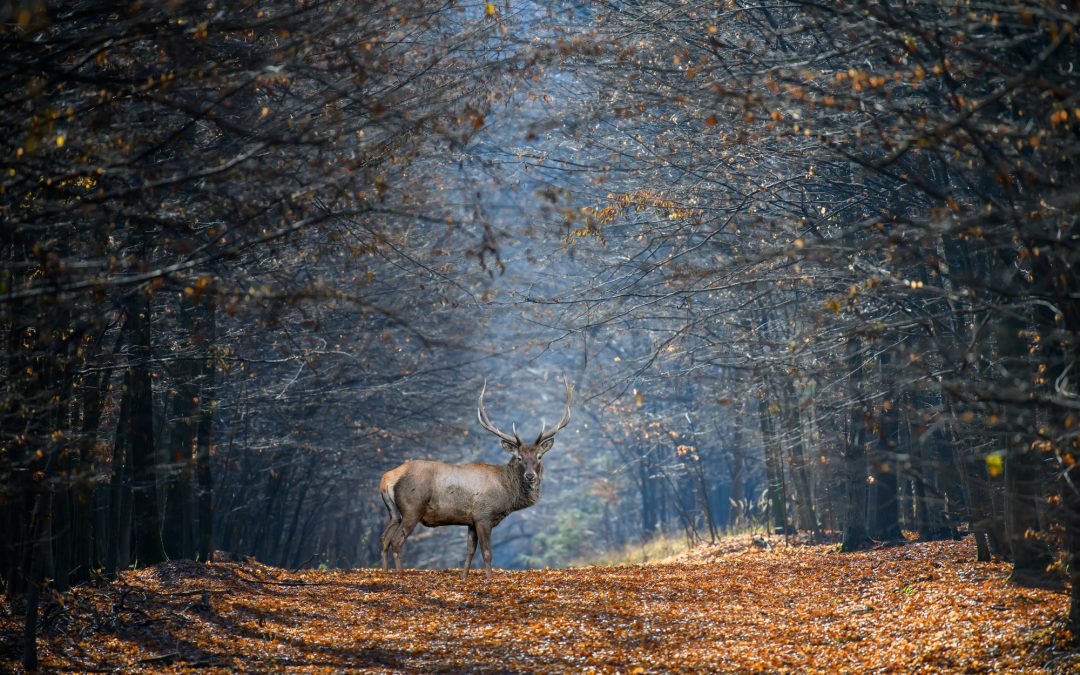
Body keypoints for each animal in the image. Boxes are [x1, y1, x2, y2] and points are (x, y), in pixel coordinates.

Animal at [380, 375, 574, 574]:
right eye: (519, 457)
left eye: (539, 456)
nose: (530, 476)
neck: (506, 493)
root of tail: (387, 479)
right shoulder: (483, 515)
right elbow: (487, 553)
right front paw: (489, 580)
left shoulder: (470, 521)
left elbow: (470, 552)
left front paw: (464, 577)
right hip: (412, 508)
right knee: (396, 541)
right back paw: (400, 574)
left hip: (394, 513)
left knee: (384, 539)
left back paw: (386, 572)